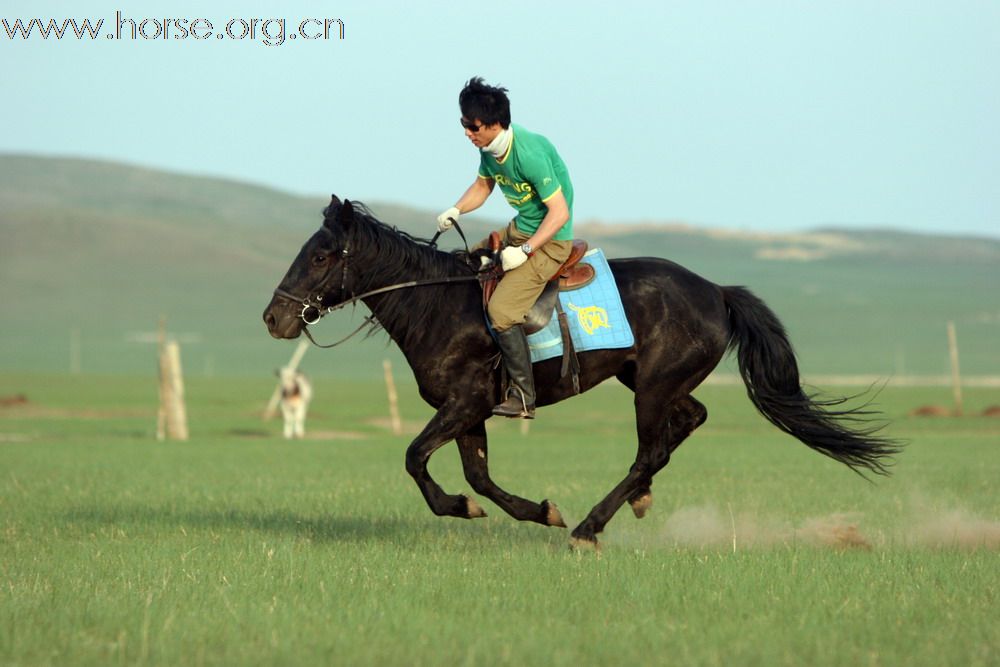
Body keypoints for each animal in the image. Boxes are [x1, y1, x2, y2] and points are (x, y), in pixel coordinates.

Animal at [260, 197, 900, 548]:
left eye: (321, 255)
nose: (273, 317)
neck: (439, 304)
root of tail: (716, 291)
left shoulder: (464, 404)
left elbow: (417, 459)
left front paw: (474, 509)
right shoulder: (469, 412)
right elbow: (479, 477)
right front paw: (531, 510)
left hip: (651, 388)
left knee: (651, 448)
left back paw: (591, 527)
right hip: (650, 381)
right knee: (688, 422)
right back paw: (636, 500)